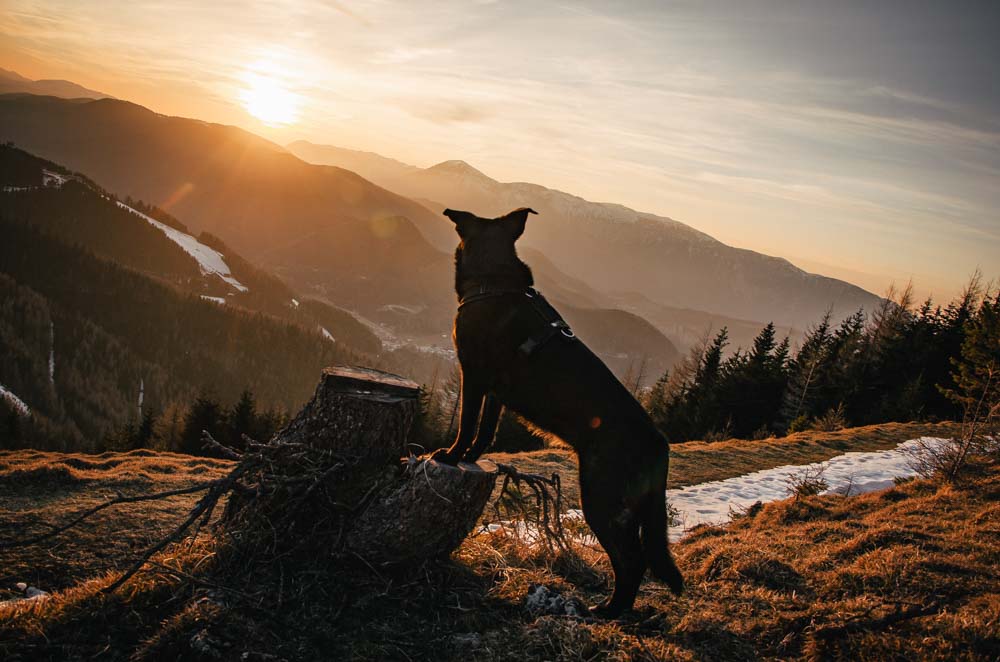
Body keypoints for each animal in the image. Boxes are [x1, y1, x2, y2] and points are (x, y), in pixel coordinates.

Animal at [434, 206, 684, 616]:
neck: (494, 283)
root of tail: (659, 445)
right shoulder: (496, 393)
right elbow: (486, 431)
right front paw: (470, 457)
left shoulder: (473, 376)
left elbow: (467, 424)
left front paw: (452, 456)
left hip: (601, 500)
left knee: (632, 561)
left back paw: (609, 611)